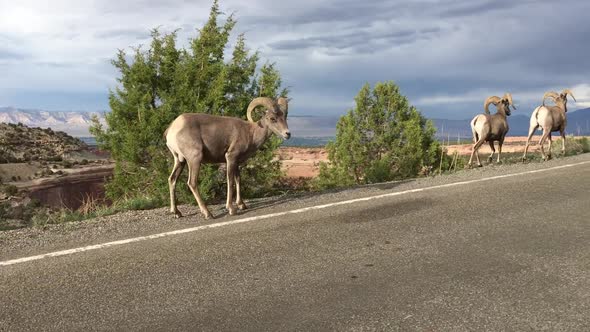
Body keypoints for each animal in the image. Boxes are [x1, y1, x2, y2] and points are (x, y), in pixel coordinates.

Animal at [164, 97, 292, 219]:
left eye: (284, 117)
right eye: (272, 118)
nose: (287, 134)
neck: (251, 133)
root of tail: (172, 129)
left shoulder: (237, 162)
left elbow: (238, 180)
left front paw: (242, 205)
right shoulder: (230, 158)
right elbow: (230, 182)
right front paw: (231, 209)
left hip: (180, 160)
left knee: (172, 179)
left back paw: (176, 213)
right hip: (194, 159)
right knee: (192, 183)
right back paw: (207, 214)